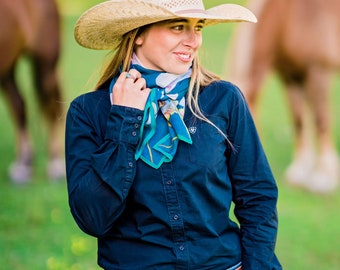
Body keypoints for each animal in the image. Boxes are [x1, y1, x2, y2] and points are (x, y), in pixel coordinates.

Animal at [0, 0, 64, 184]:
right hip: (8, 67)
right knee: (18, 106)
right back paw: (23, 165)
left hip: (46, 65)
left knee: (51, 108)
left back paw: (55, 165)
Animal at [226, 0, 340, 193]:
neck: (288, 17)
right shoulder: (290, 75)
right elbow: (299, 120)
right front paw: (300, 171)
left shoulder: (318, 70)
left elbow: (321, 120)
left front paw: (323, 177)